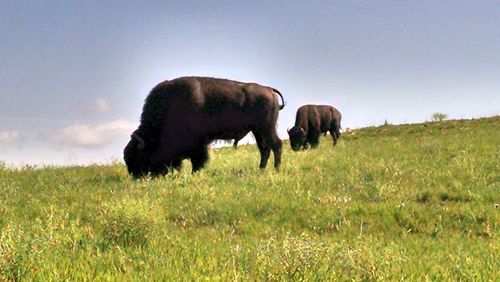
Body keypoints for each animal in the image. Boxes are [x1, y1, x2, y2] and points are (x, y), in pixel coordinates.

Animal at [123, 76, 284, 177]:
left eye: (139, 156)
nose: (136, 176)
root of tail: (269, 89)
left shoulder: (198, 145)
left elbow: (198, 160)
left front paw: (194, 173)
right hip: (258, 131)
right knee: (264, 149)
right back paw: (261, 170)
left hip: (267, 128)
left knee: (276, 145)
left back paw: (276, 170)